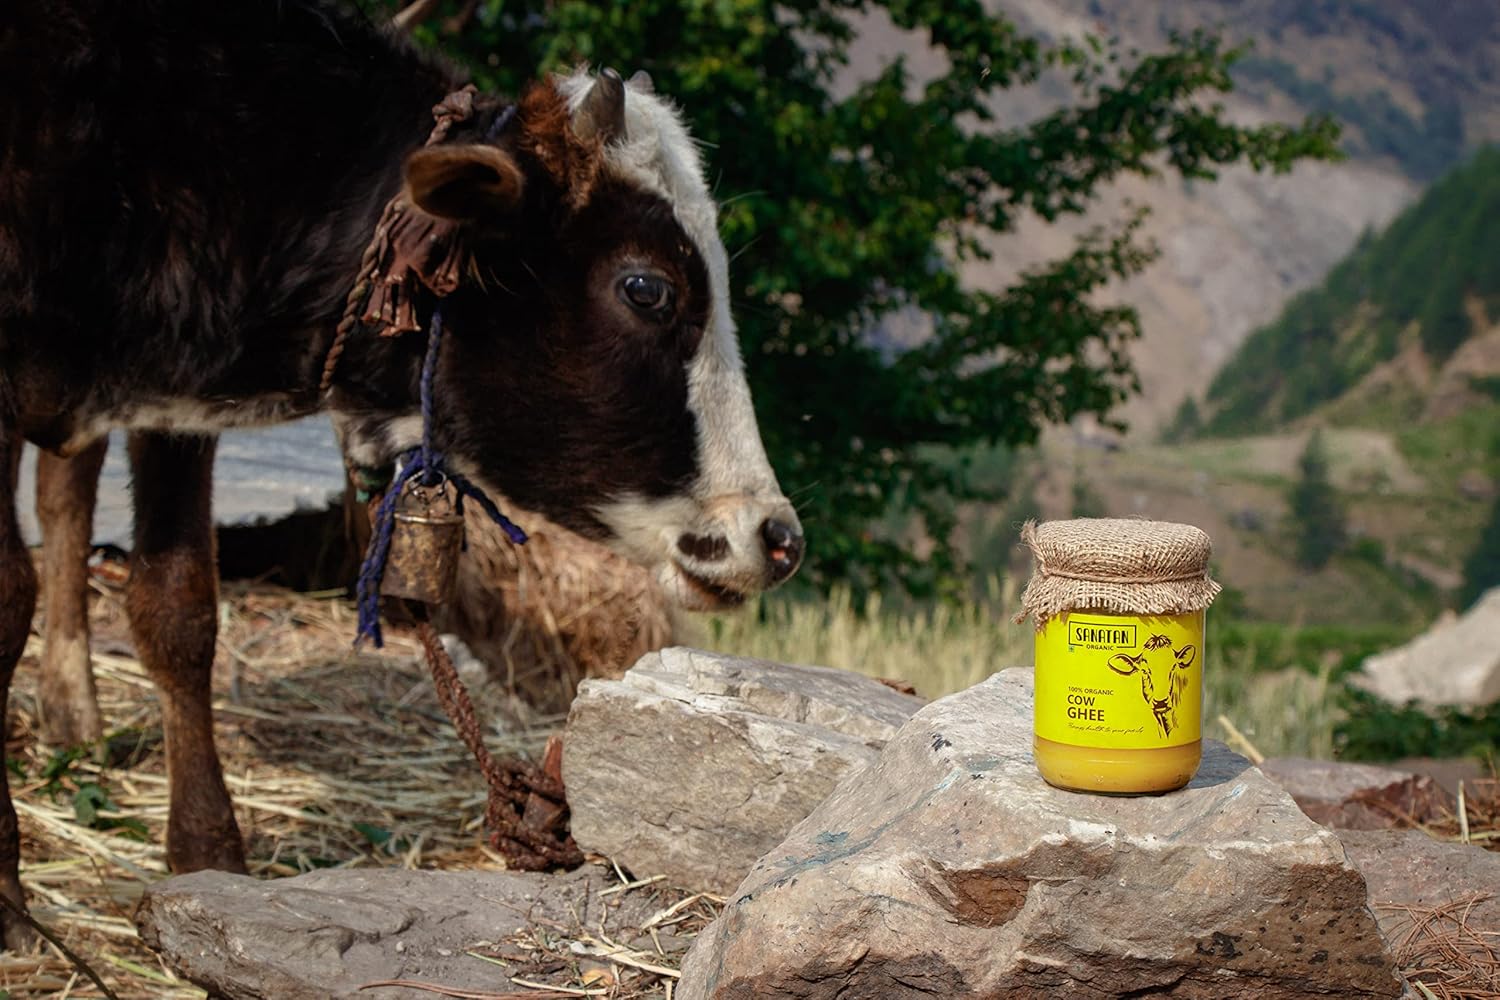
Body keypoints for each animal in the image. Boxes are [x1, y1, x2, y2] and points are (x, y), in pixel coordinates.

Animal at [0, 0, 803, 948]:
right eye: (648, 288)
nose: (776, 537)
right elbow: (10, 596)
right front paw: (9, 896)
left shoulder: (172, 403)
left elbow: (177, 607)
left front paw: (207, 856)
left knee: (66, 491)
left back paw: (73, 711)